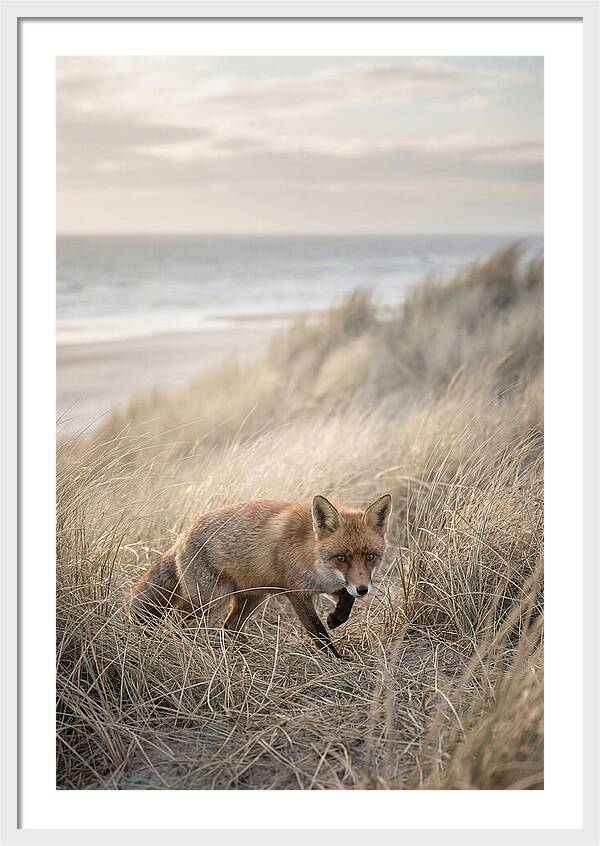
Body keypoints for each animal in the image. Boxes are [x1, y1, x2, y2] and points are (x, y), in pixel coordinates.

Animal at [129, 493, 392, 659]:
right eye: (341, 558)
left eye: (370, 556)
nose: (363, 590)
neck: (312, 554)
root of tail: (181, 536)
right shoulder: (296, 592)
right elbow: (317, 631)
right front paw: (336, 659)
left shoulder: (331, 585)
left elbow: (346, 601)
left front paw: (336, 619)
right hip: (211, 601)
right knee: (179, 620)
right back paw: (190, 647)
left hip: (252, 597)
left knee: (230, 626)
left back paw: (244, 652)